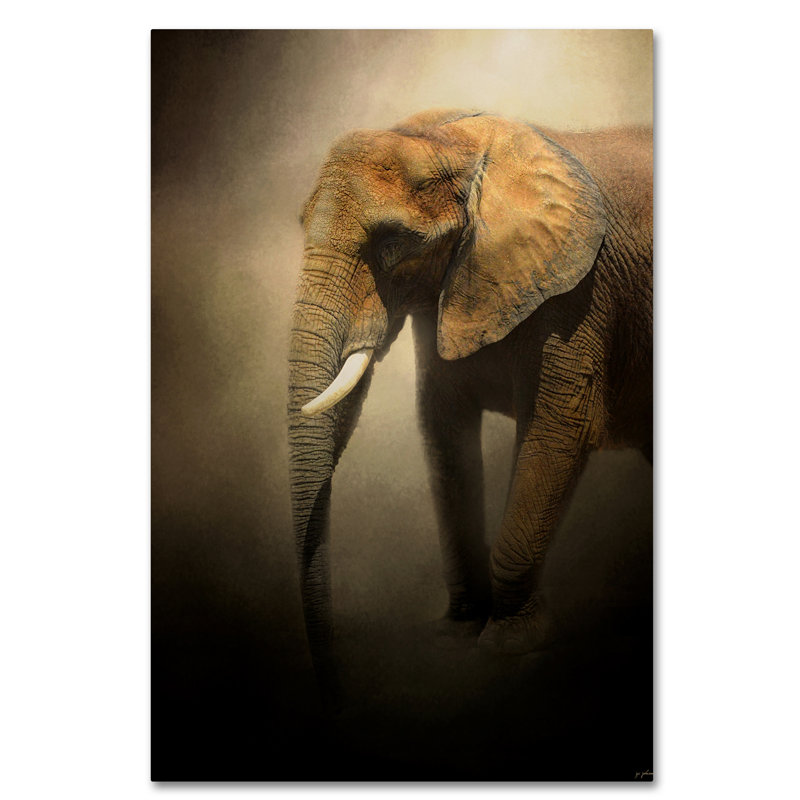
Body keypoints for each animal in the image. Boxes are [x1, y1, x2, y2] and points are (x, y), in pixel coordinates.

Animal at [288, 109, 652, 700]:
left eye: (393, 244)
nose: (335, 694)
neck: (456, 140)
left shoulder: (579, 295)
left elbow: (559, 431)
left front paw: (509, 643)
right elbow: (443, 431)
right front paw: (459, 632)